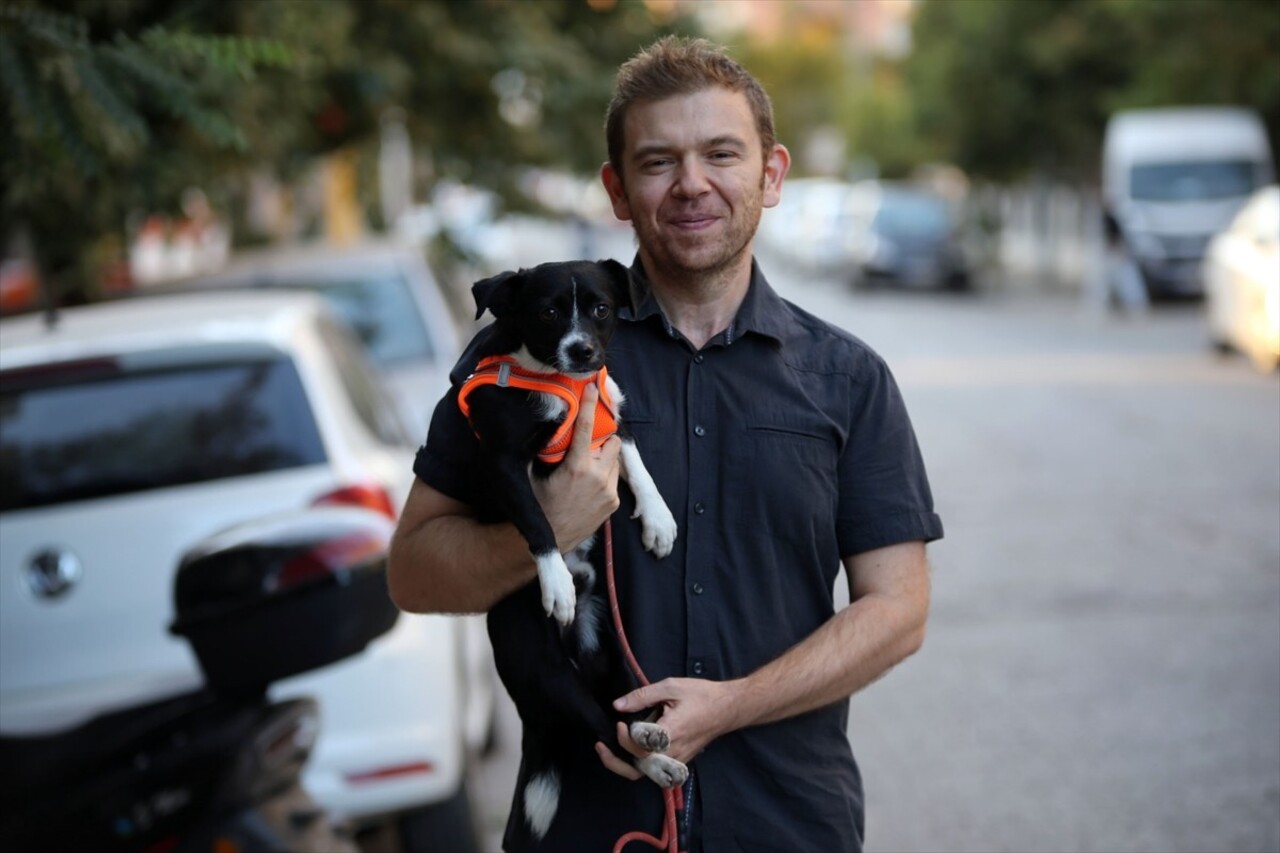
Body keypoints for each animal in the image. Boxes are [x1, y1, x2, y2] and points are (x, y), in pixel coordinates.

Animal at [458, 258, 691, 845]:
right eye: (548, 312)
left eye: (602, 309)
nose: (583, 350)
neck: (559, 378)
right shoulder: (503, 461)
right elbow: (539, 521)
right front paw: (556, 582)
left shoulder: (612, 419)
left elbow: (636, 461)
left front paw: (658, 519)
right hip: (549, 676)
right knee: (603, 735)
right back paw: (654, 761)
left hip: (622, 659)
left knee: (622, 720)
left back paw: (651, 738)